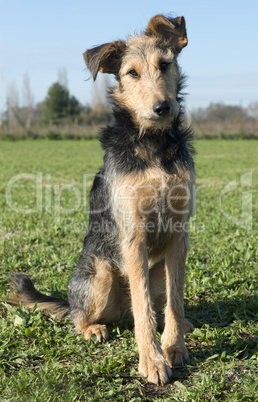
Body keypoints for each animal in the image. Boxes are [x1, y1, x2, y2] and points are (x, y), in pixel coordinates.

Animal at [9, 14, 196, 386]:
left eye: (165, 64)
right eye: (131, 73)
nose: (162, 107)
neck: (153, 146)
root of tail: (118, 313)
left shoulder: (178, 233)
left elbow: (175, 299)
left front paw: (174, 347)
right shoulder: (133, 234)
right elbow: (142, 306)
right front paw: (152, 361)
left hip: (155, 272)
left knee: (155, 306)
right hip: (100, 273)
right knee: (80, 317)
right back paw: (94, 328)